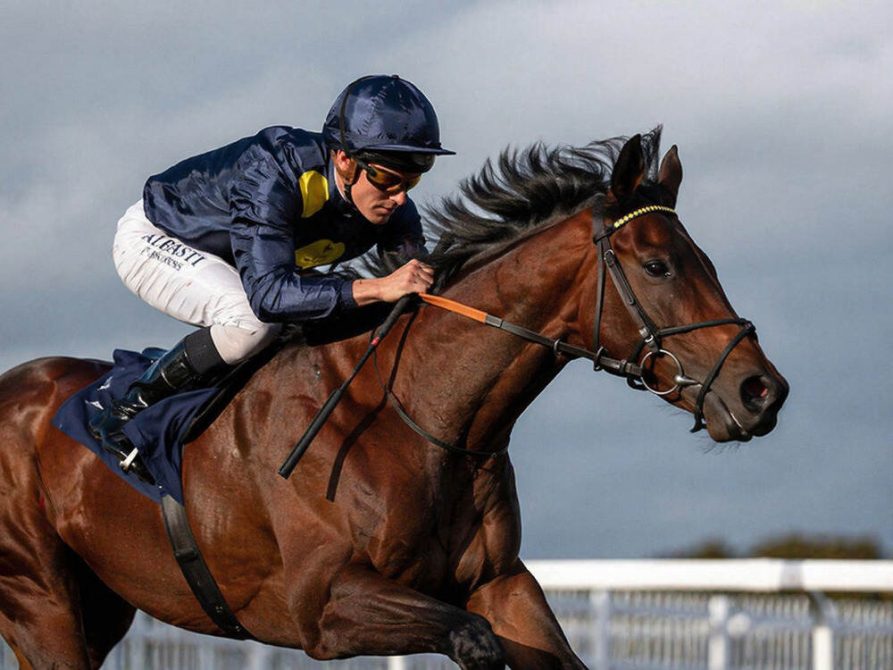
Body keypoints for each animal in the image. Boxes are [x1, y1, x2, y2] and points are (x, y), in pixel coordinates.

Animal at [0, 128, 787, 670]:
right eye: (656, 266)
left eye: (705, 262)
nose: (762, 391)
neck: (424, 418)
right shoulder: (322, 604)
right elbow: (473, 641)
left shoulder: (500, 582)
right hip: (41, 600)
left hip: (100, 603)